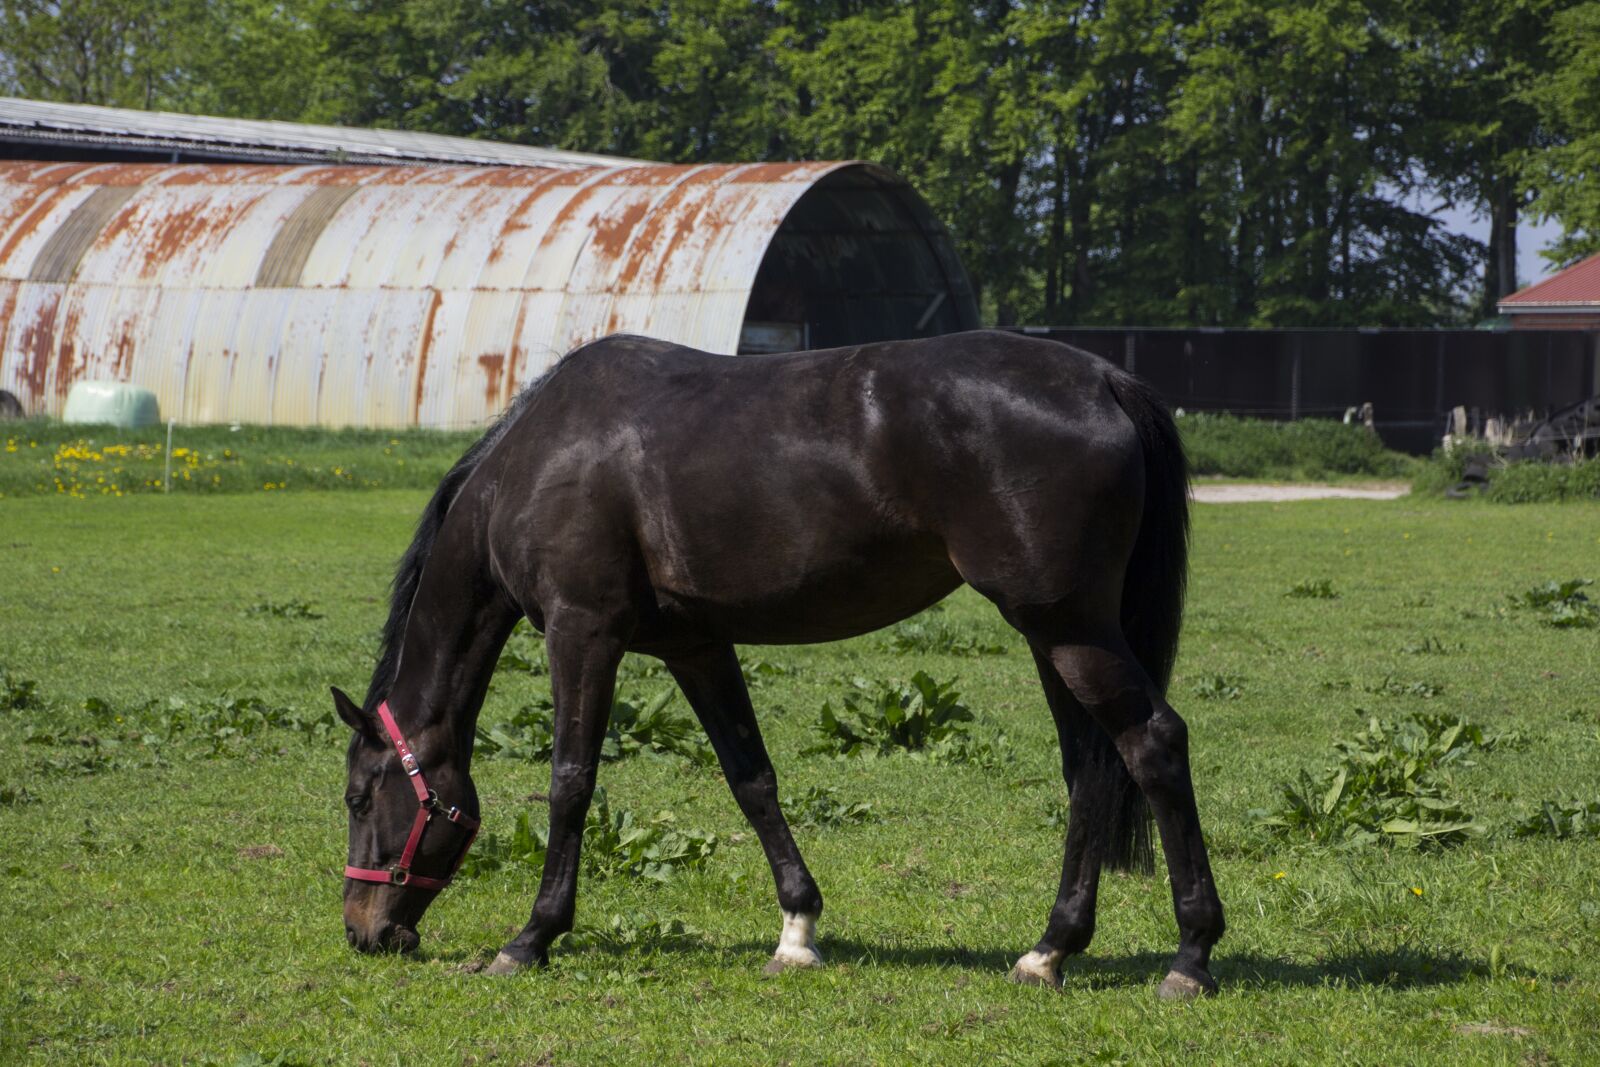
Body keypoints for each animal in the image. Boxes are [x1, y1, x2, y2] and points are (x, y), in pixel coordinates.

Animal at [334, 329, 1224, 1000]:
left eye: (358, 796)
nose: (364, 930)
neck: (537, 462)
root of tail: (1105, 379)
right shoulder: (696, 645)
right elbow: (751, 777)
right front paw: (798, 928)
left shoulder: (581, 634)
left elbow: (570, 782)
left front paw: (531, 936)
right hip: (1057, 634)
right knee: (1089, 770)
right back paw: (1050, 949)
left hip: (1067, 626)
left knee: (1152, 743)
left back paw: (1190, 956)